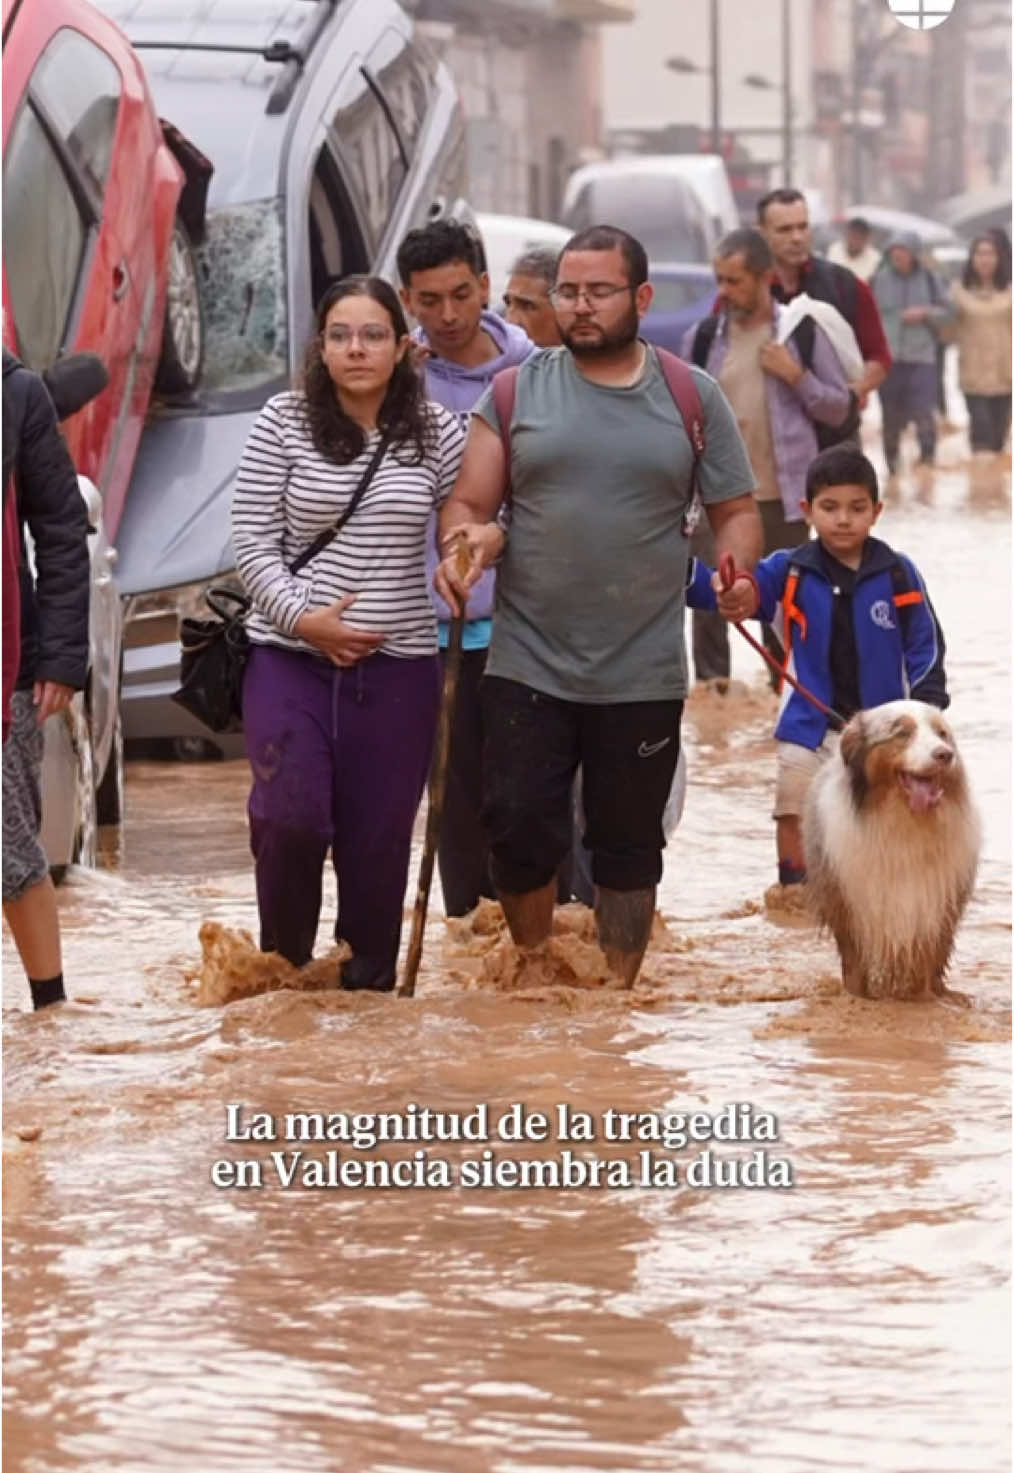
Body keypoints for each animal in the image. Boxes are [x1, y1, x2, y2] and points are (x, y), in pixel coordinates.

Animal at [801, 701, 978, 1001]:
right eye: (902, 733)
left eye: (941, 734)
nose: (945, 754)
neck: (905, 819)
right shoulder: (848, 901)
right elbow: (855, 962)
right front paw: (857, 998)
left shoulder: (936, 903)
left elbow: (928, 958)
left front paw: (926, 998)